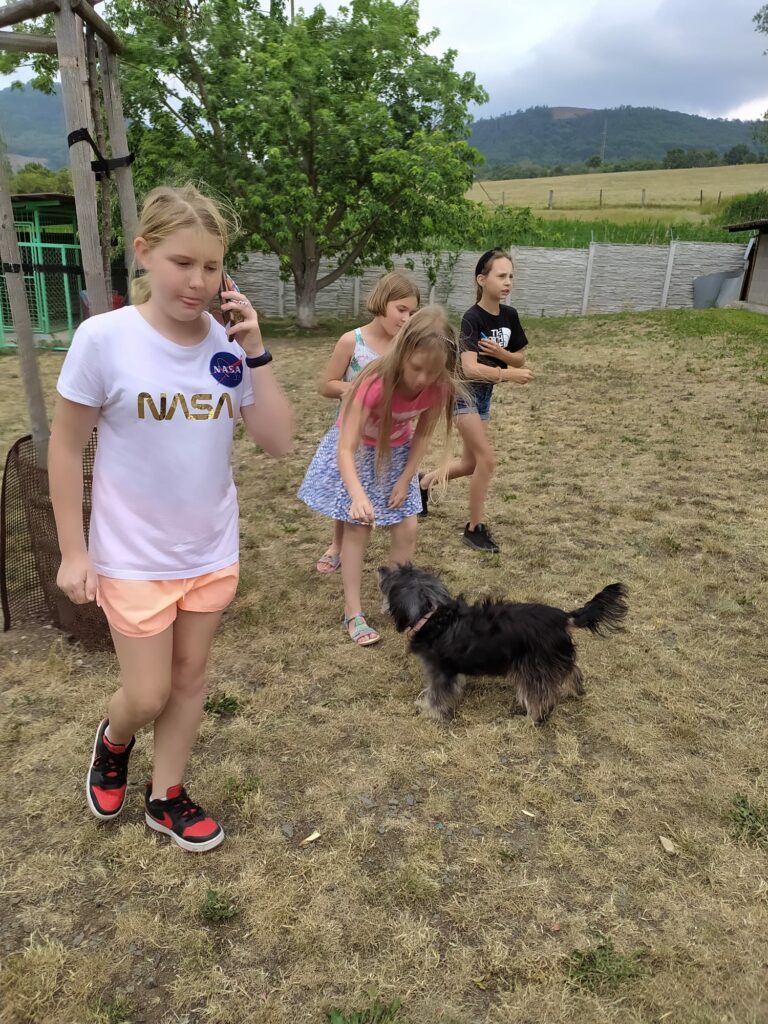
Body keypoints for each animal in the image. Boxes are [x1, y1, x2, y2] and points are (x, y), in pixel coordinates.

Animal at [378, 564, 628, 725]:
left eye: (392, 578)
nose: (381, 568)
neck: (431, 616)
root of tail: (564, 617)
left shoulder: (440, 671)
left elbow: (437, 695)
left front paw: (429, 711)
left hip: (534, 668)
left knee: (541, 698)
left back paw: (532, 718)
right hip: (554, 659)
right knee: (572, 671)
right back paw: (572, 691)